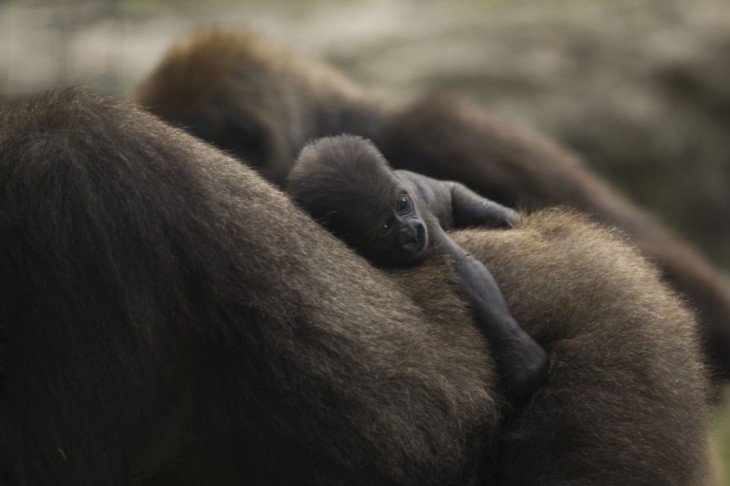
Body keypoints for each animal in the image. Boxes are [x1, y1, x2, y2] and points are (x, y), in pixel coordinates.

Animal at [288, 135, 548, 400]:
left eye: (402, 204)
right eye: (384, 228)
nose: (412, 232)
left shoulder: (422, 216)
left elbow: (462, 266)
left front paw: (518, 352)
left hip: (452, 190)